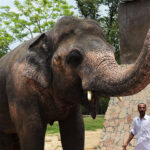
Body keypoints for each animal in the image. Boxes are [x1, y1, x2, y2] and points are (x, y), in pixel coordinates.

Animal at [0, 16, 150, 150]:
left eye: (113, 50)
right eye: (74, 57)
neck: (48, 34)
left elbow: (75, 130)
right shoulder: (20, 90)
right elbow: (33, 131)